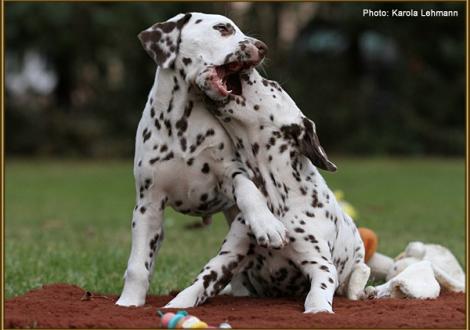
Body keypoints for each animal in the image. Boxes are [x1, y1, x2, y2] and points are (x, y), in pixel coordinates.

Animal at [116, 12, 290, 306]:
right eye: (222, 28)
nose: (263, 47)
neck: (182, 122)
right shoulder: (148, 205)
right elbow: (138, 264)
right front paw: (128, 302)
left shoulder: (231, 173)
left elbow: (248, 191)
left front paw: (267, 224)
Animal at [165, 67, 370, 312]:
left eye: (273, 85)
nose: (247, 69)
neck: (275, 197)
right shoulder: (227, 258)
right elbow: (198, 284)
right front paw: (174, 305)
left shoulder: (320, 264)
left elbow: (317, 292)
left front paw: (318, 309)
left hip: (358, 266)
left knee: (360, 276)